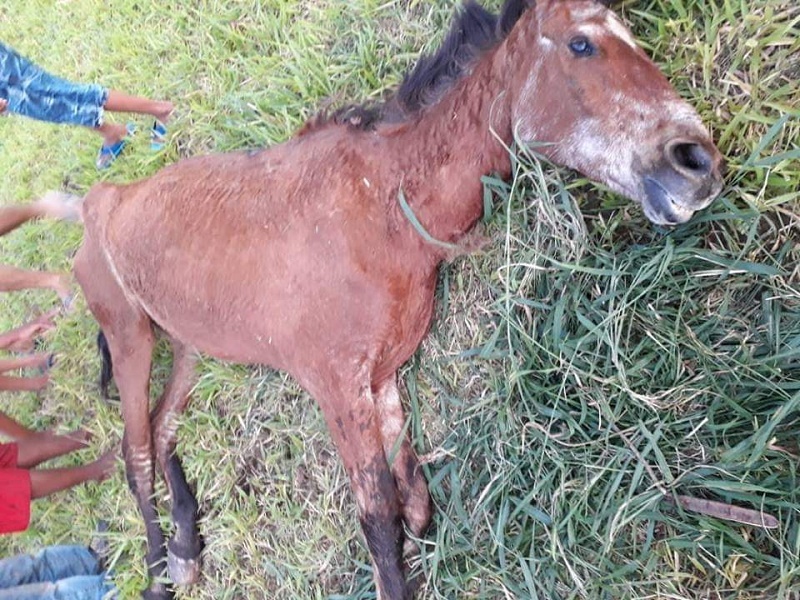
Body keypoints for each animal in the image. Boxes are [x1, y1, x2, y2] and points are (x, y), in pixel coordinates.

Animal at [73, 2, 724, 596]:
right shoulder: (336, 385)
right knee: (135, 452)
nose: (697, 161)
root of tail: (102, 199)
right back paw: (158, 572)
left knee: (162, 432)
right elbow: (381, 521)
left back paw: (185, 548)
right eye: (581, 44)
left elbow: (414, 504)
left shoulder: (382, 377)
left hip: (187, 344)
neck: (382, 203)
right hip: (129, 337)